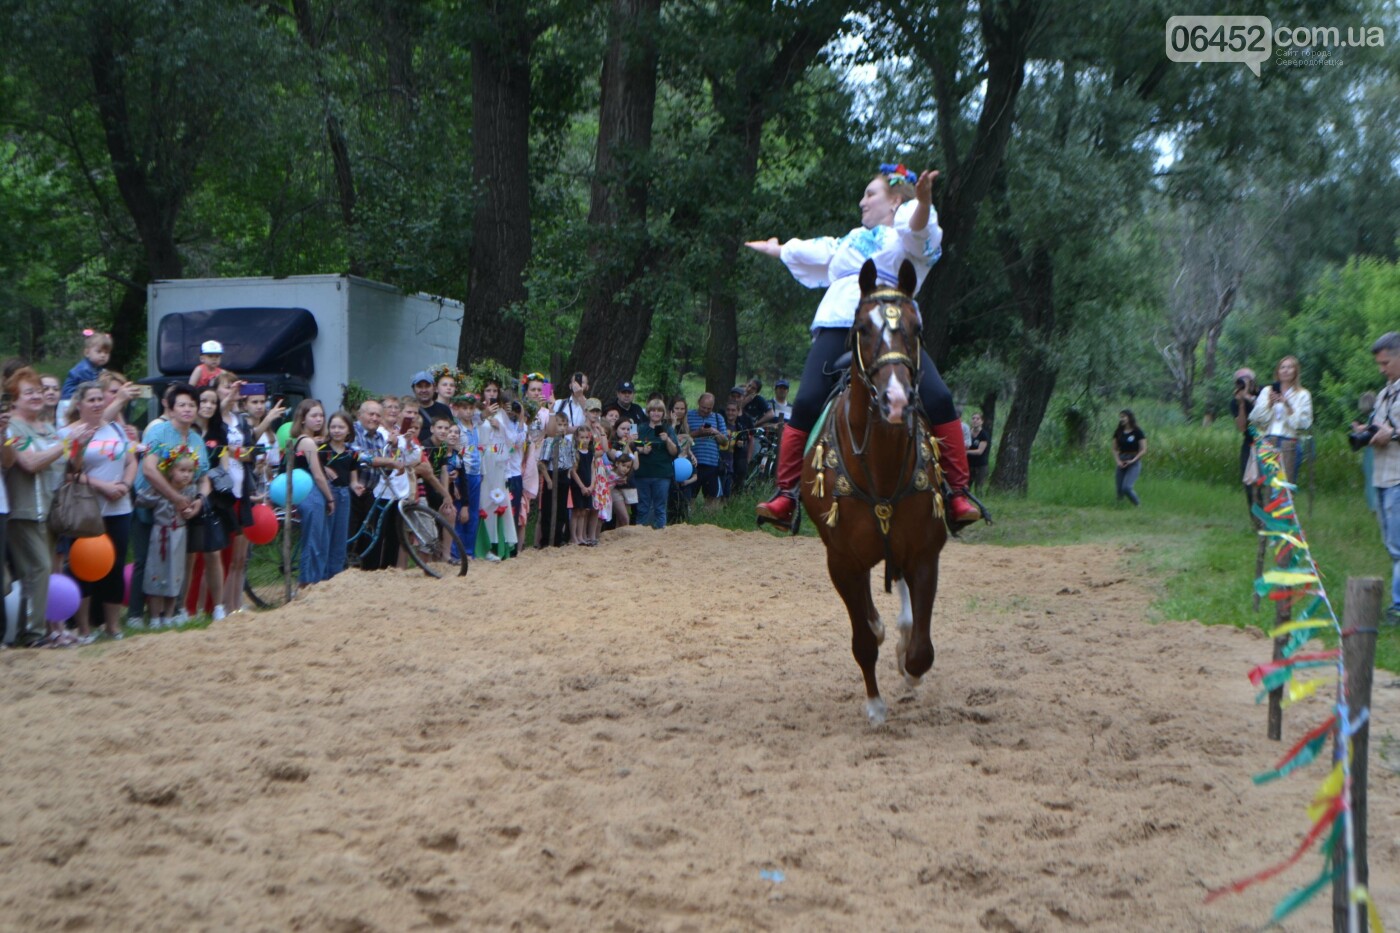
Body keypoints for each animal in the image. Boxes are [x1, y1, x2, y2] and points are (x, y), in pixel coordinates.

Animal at [800, 257, 952, 722]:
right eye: (863, 329)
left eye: (916, 327)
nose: (896, 399)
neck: (880, 468)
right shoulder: (841, 562)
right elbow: (864, 641)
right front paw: (875, 706)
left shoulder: (924, 554)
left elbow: (921, 649)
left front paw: (909, 669)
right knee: (870, 615)